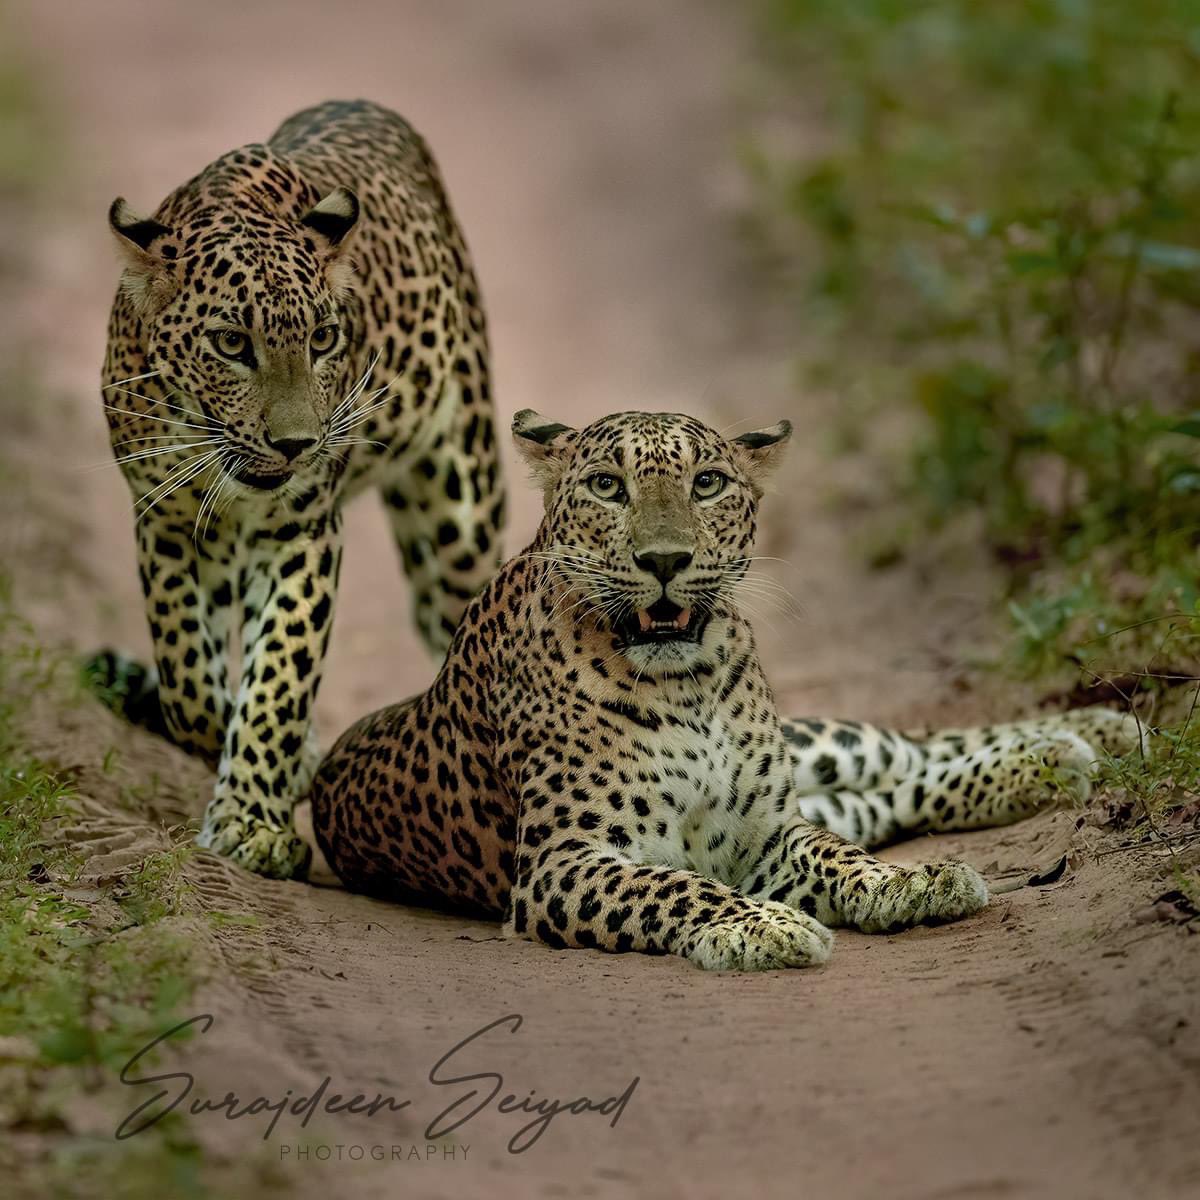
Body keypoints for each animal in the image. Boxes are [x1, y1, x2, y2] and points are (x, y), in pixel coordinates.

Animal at [86, 99, 504, 880]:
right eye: (230, 344)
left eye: (323, 339)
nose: (296, 444)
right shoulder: (164, 523)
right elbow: (188, 676)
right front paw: (260, 762)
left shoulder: (302, 532)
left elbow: (280, 674)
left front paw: (253, 821)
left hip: (459, 524)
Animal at [301, 408, 1137, 970]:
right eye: (607, 486)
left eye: (706, 484)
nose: (665, 560)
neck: (687, 687)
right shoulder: (564, 862)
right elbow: (679, 887)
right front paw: (765, 926)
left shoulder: (770, 830)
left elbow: (841, 857)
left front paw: (904, 881)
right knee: (892, 792)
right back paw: (1062, 758)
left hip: (817, 754)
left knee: (903, 750)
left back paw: (1085, 740)